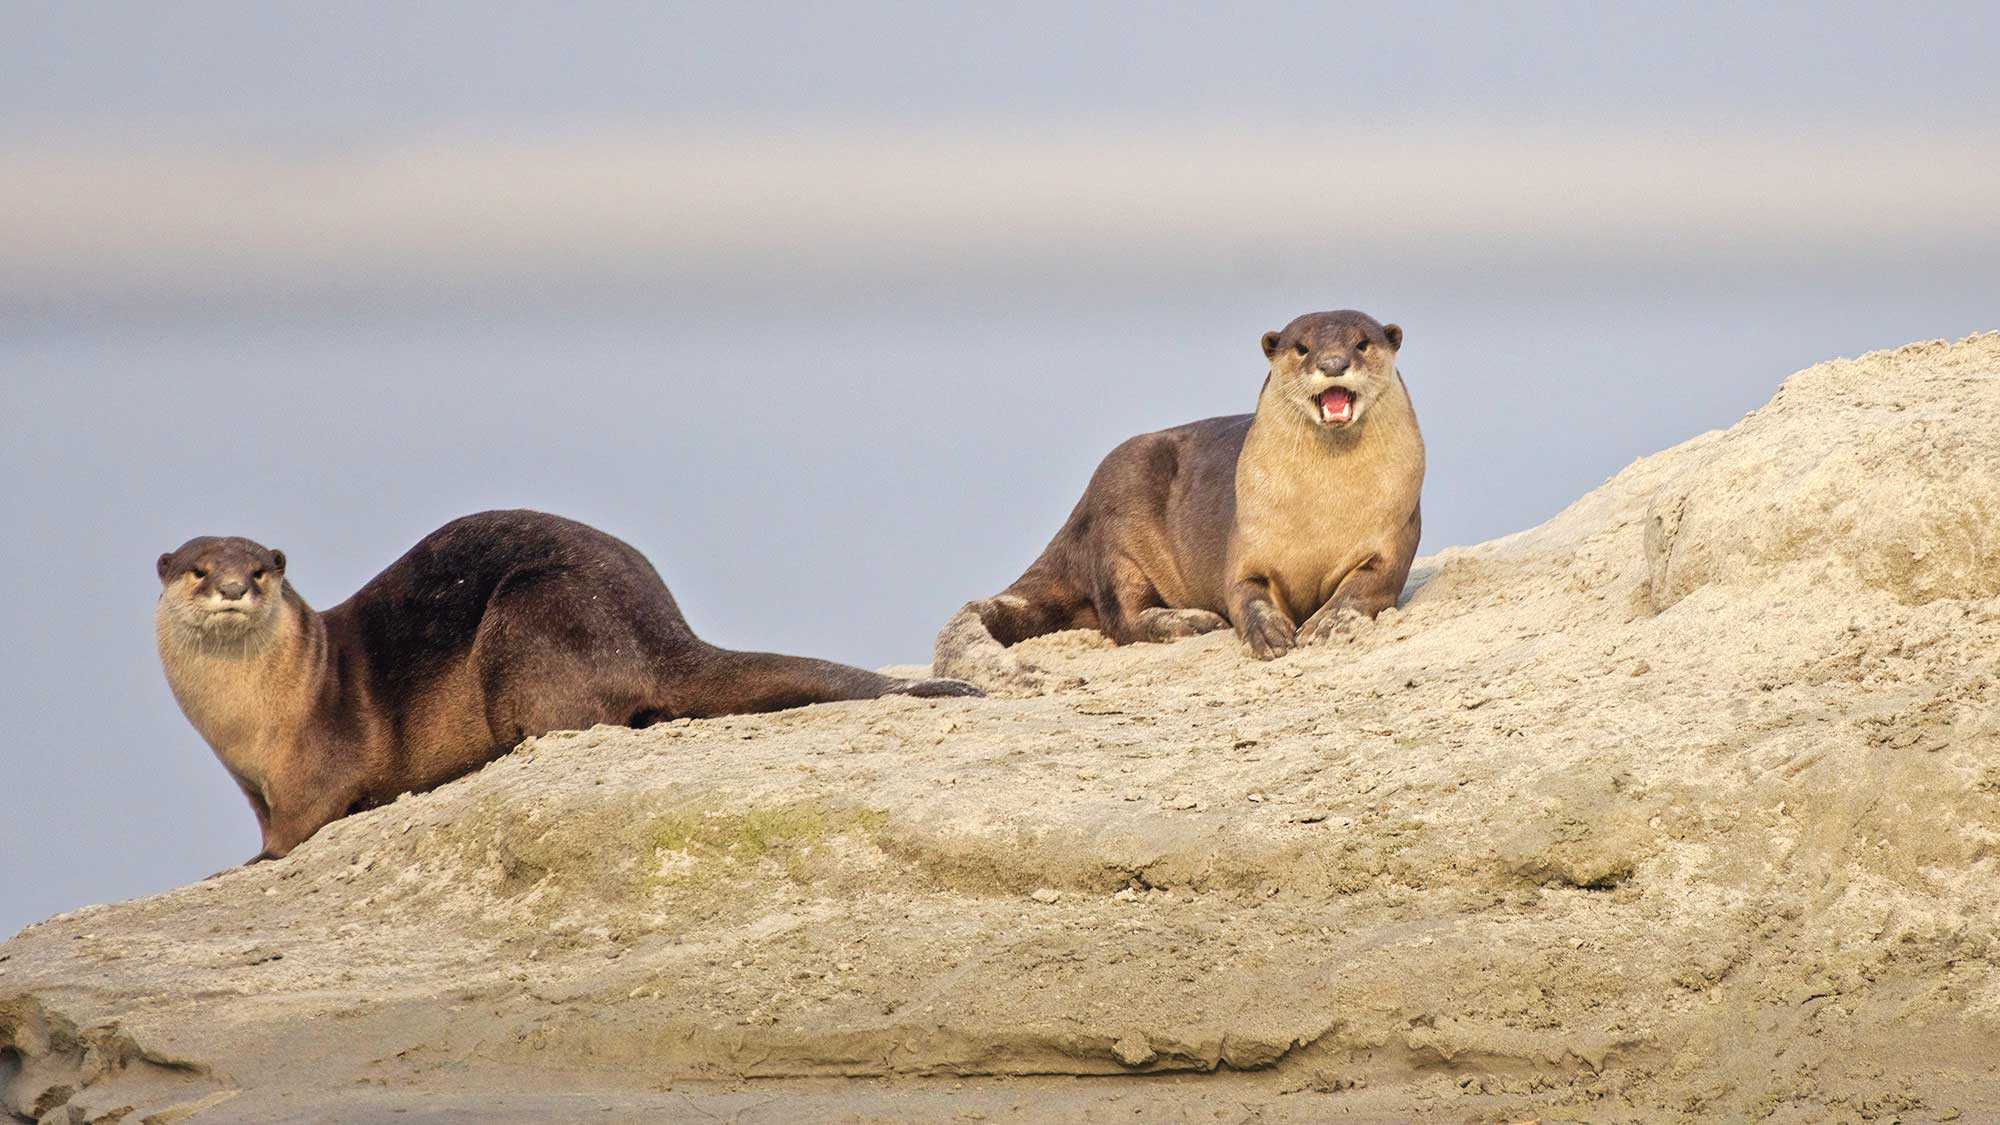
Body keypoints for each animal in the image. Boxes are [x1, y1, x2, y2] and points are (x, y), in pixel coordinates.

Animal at [156, 508, 976, 856]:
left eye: (260, 569)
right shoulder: (251, 783)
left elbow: (299, 826)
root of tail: (659, 627)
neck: (255, 719)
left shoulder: (319, 758)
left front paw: (253, 862)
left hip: (531, 615)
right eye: (198, 568)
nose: (233, 587)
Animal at [932, 304, 1424, 684]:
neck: (1318, 515)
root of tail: (1076, 517)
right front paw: (1267, 632)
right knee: (1122, 617)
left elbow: (1368, 584)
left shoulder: (1395, 535)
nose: (1334, 363)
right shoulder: (1246, 543)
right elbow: (1243, 591)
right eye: (1302, 347)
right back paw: (1193, 620)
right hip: (1118, 531)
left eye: (1362, 343)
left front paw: (1328, 621)